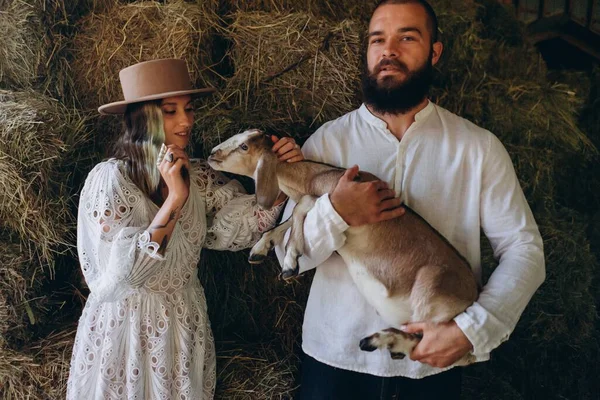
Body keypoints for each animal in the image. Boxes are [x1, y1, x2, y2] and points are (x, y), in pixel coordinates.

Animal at [206, 130, 478, 364]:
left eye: (244, 146)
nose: (212, 153)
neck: (315, 176)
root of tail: (471, 296)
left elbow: (301, 205)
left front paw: (290, 261)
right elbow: (291, 217)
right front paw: (261, 248)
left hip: (431, 293)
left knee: (430, 340)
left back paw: (380, 341)